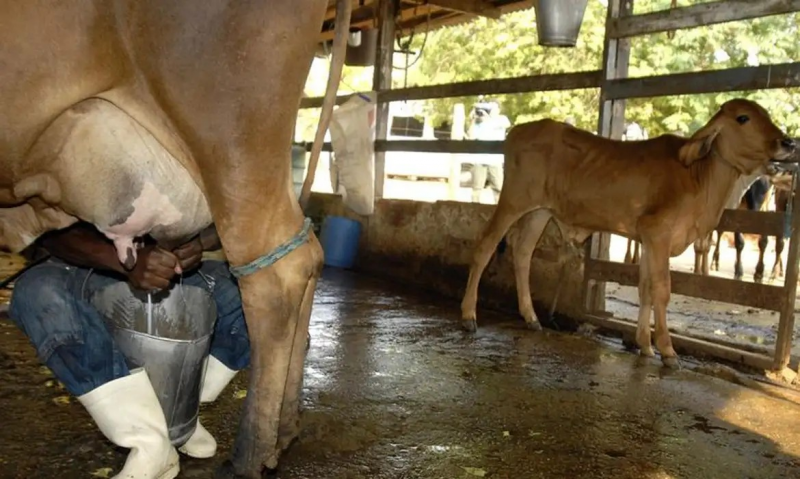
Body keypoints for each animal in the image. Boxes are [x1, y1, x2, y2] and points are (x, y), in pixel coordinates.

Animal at [460, 97, 796, 368]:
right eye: (743, 118)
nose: (788, 143)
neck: (700, 175)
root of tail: (520, 130)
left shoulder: (648, 239)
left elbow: (645, 288)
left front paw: (644, 346)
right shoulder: (658, 234)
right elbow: (661, 290)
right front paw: (667, 351)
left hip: (539, 211)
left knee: (523, 252)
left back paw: (531, 318)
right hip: (513, 200)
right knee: (486, 246)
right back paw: (469, 316)